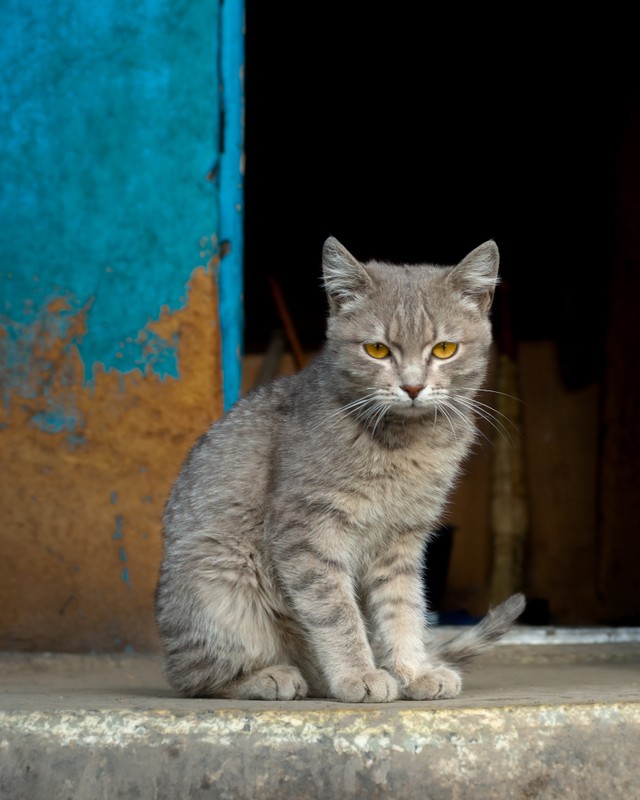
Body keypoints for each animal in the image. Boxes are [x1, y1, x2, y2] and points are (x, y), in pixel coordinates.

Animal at [155, 236, 524, 700]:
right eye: (377, 350)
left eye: (444, 349)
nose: (413, 386)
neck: (407, 444)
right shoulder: (307, 532)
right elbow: (336, 613)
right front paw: (358, 674)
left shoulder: (402, 541)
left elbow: (404, 609)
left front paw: (413, 670)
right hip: (219, 578)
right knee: (195, 677)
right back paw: (271, 676)